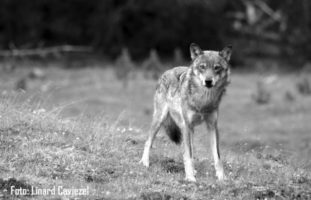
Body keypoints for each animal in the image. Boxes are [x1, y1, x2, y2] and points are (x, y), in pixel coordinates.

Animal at [140, 43, 233, 182]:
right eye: (202, 67)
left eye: (216, 68)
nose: (208, 81)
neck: (203, 100)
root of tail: (167, 71)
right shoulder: (186, 125)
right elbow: (188, 155)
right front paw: (190, 178)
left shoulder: (212, 126)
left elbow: (217, 157)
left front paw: (222, 178)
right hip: (161, 119)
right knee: (148, 140)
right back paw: (144, 162)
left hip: (189, 130)